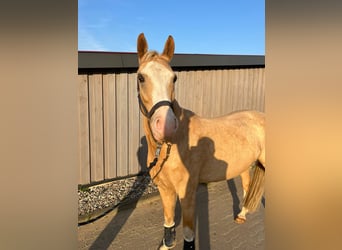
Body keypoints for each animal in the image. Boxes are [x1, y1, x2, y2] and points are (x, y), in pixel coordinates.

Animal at [136, 32, 264, 249]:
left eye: (174, 78)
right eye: (141, 77)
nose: (165, 127)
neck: (173, 146)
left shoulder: (187, 193)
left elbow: (189, 234)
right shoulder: (165, 189)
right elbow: (168, 222)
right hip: (244, 165)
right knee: (247, 186)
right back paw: (241, 215)